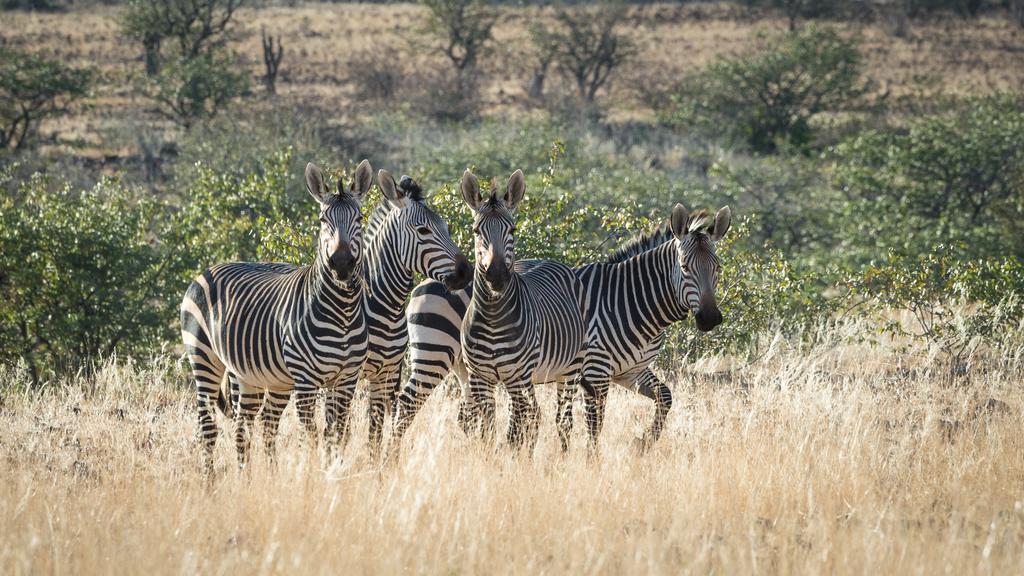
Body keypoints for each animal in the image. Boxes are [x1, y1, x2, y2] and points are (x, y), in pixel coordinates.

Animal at [182, 158, 374, 469]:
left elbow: (335, 434)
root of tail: (210, 269)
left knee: (250, 426)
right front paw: (310, 474)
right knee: (208, 427)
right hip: (204, 359)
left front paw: (332, 472)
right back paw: (210, 480)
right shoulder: (306, 381)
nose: (342, 264)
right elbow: (312, 435)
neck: (342, 311)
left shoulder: (346, 380)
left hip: (253, 376)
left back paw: (252, 477)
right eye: (322, 221)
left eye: (359, 219)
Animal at [294, 167, 468, 457]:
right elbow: (346, 430)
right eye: (423, 230)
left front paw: (380, 463)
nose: (466, 272)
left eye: (447, 228)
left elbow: (377, 429)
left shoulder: (388, 372)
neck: (386, 306)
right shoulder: (352, 374)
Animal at [387, 199, 733, 450]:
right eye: (685, 267)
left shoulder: (630, 371)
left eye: (718, 267)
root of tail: (425, 283)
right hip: (435, 353)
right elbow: (593, 427)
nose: (710, 318)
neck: (628, 300)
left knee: (466, 415)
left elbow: (666, 397)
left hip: (465, 366)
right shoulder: (595, 372)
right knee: (408, 406)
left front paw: (643, 442)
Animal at [407, 169, 585, 448]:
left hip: (570, 368)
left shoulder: (516, 376)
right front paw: (489, 456)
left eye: (512, 229)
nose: (497, 276)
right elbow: (488, 428)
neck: (492, 316)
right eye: (475, 230)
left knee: (559, 419)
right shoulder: (480, 377)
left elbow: (515, 430)